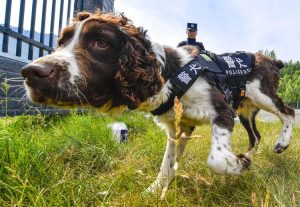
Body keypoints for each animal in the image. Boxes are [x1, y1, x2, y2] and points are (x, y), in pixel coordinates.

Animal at [21, 12, 296, 196]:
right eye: (61, 42)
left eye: (101, 43)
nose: (31, 72)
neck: (169, 74)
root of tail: (272, 60)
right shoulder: (180, 127)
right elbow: (167, 164)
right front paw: (153, 192)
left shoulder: (222, 111)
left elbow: (215, 160)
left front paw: (238, 165)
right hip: (245, 108)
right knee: (256, 136)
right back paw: (251, 153)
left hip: (261, 94)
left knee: (288, 112)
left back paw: (281, 143)